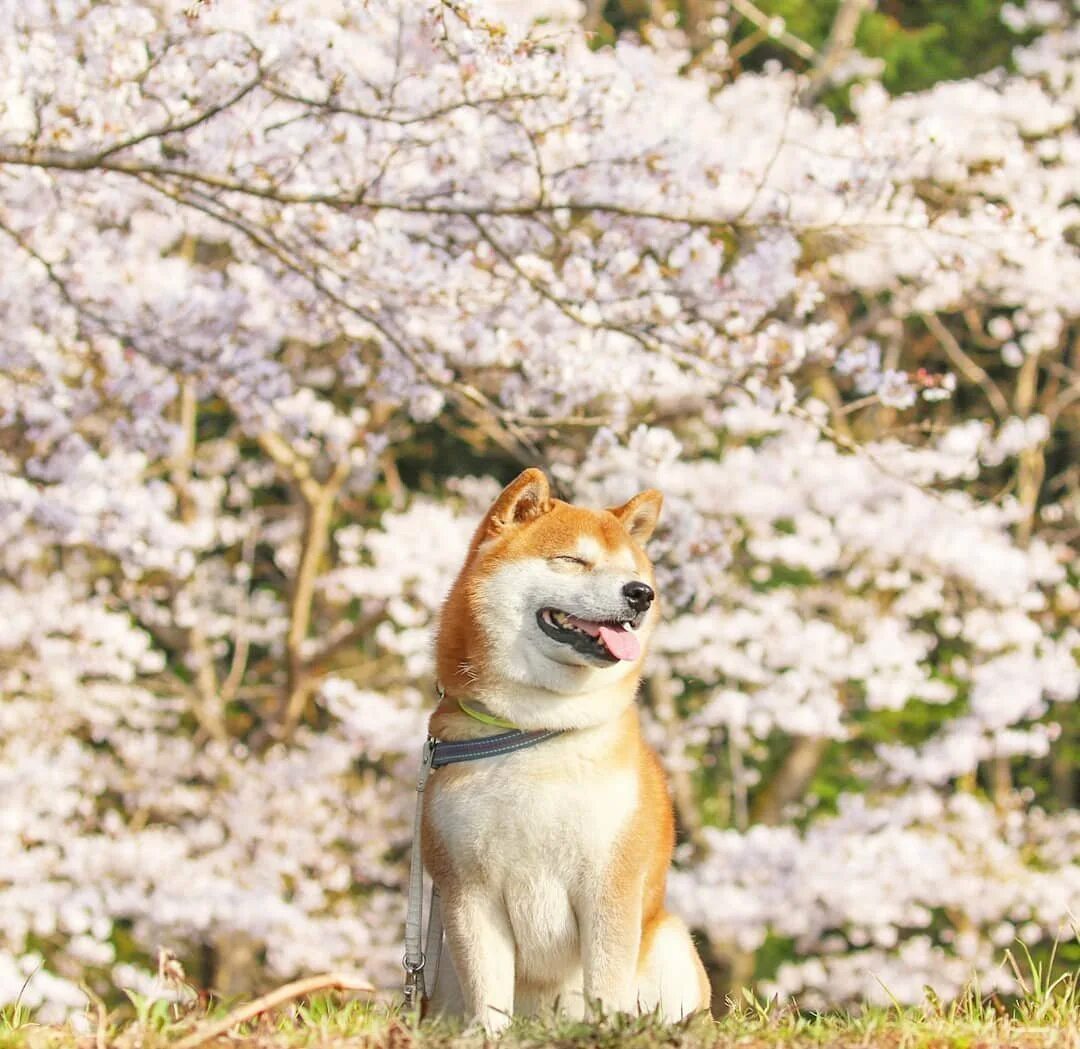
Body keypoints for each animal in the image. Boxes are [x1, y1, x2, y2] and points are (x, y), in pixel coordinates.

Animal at [419, 466, 708, 1032]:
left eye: (633, 572)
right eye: (572, 560)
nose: (641, 594)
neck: (536, 729)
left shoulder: (611, 882)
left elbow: (607, 982)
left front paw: (605, 1032)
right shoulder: (467, 890)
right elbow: (487, 988)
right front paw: (488, 1036)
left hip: (669, 942)